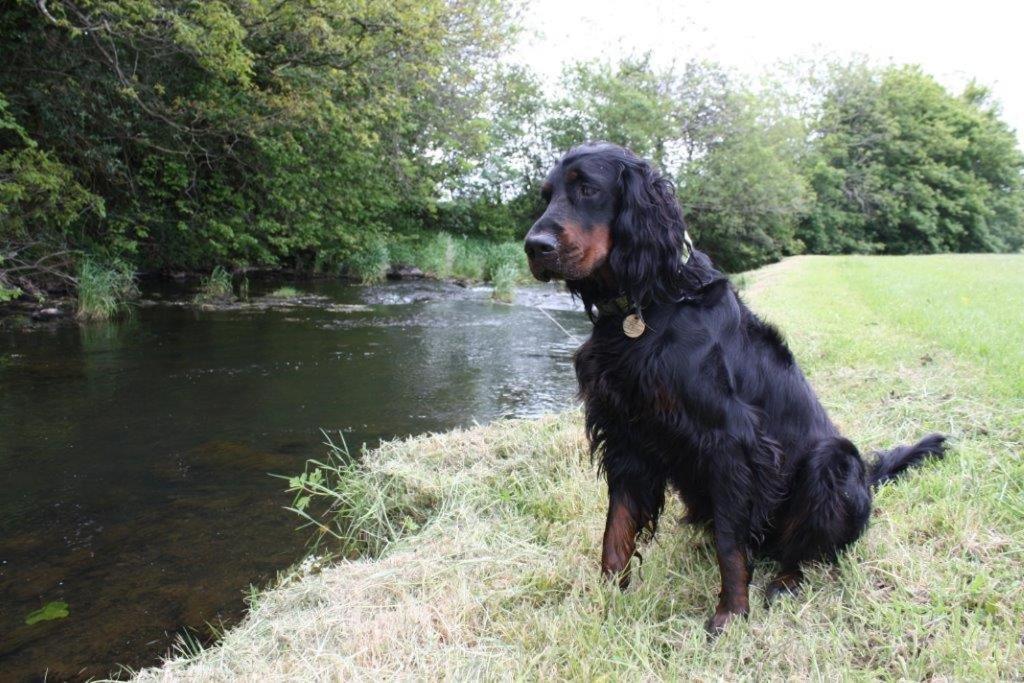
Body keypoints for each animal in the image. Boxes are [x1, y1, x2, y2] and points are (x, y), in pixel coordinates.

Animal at [524, 141, 946, 634]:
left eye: (588, 188)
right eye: (546, 195)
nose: (534, 246)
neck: (648, 304)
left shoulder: (730, 441)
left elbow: (730, 541)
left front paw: (731, 612)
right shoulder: (626, 433)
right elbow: (618, 526)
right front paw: (607, 596)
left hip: (832, 461)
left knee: (806, 550)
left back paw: (784, 581)